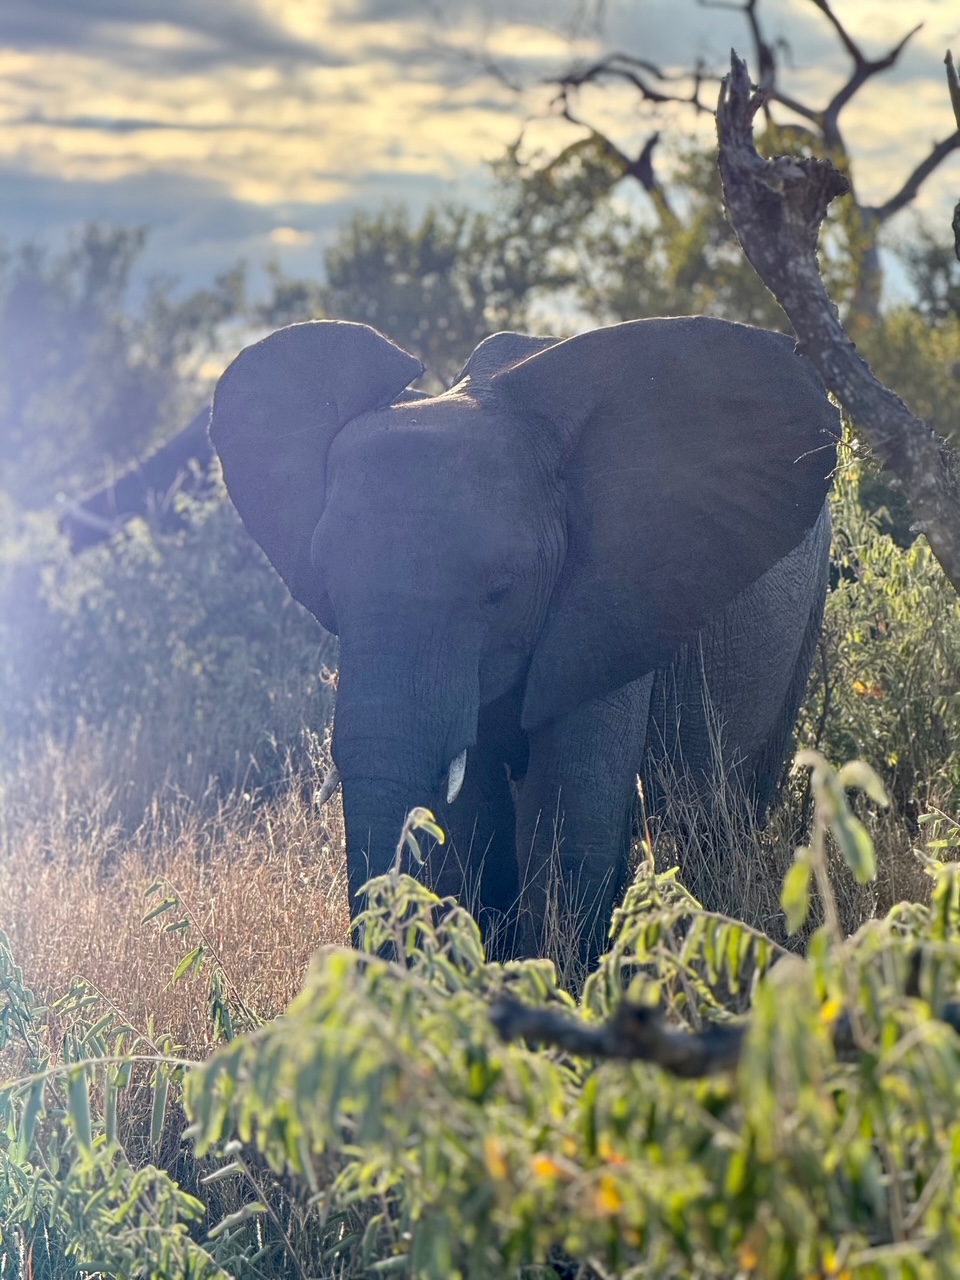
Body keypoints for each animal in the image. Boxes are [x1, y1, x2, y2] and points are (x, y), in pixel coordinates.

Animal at [210, 316, 839, 961]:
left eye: (499, 592)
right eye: (328, 588)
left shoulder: (607, 599)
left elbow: (571, 813)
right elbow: (473, 825)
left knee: (725, 813)